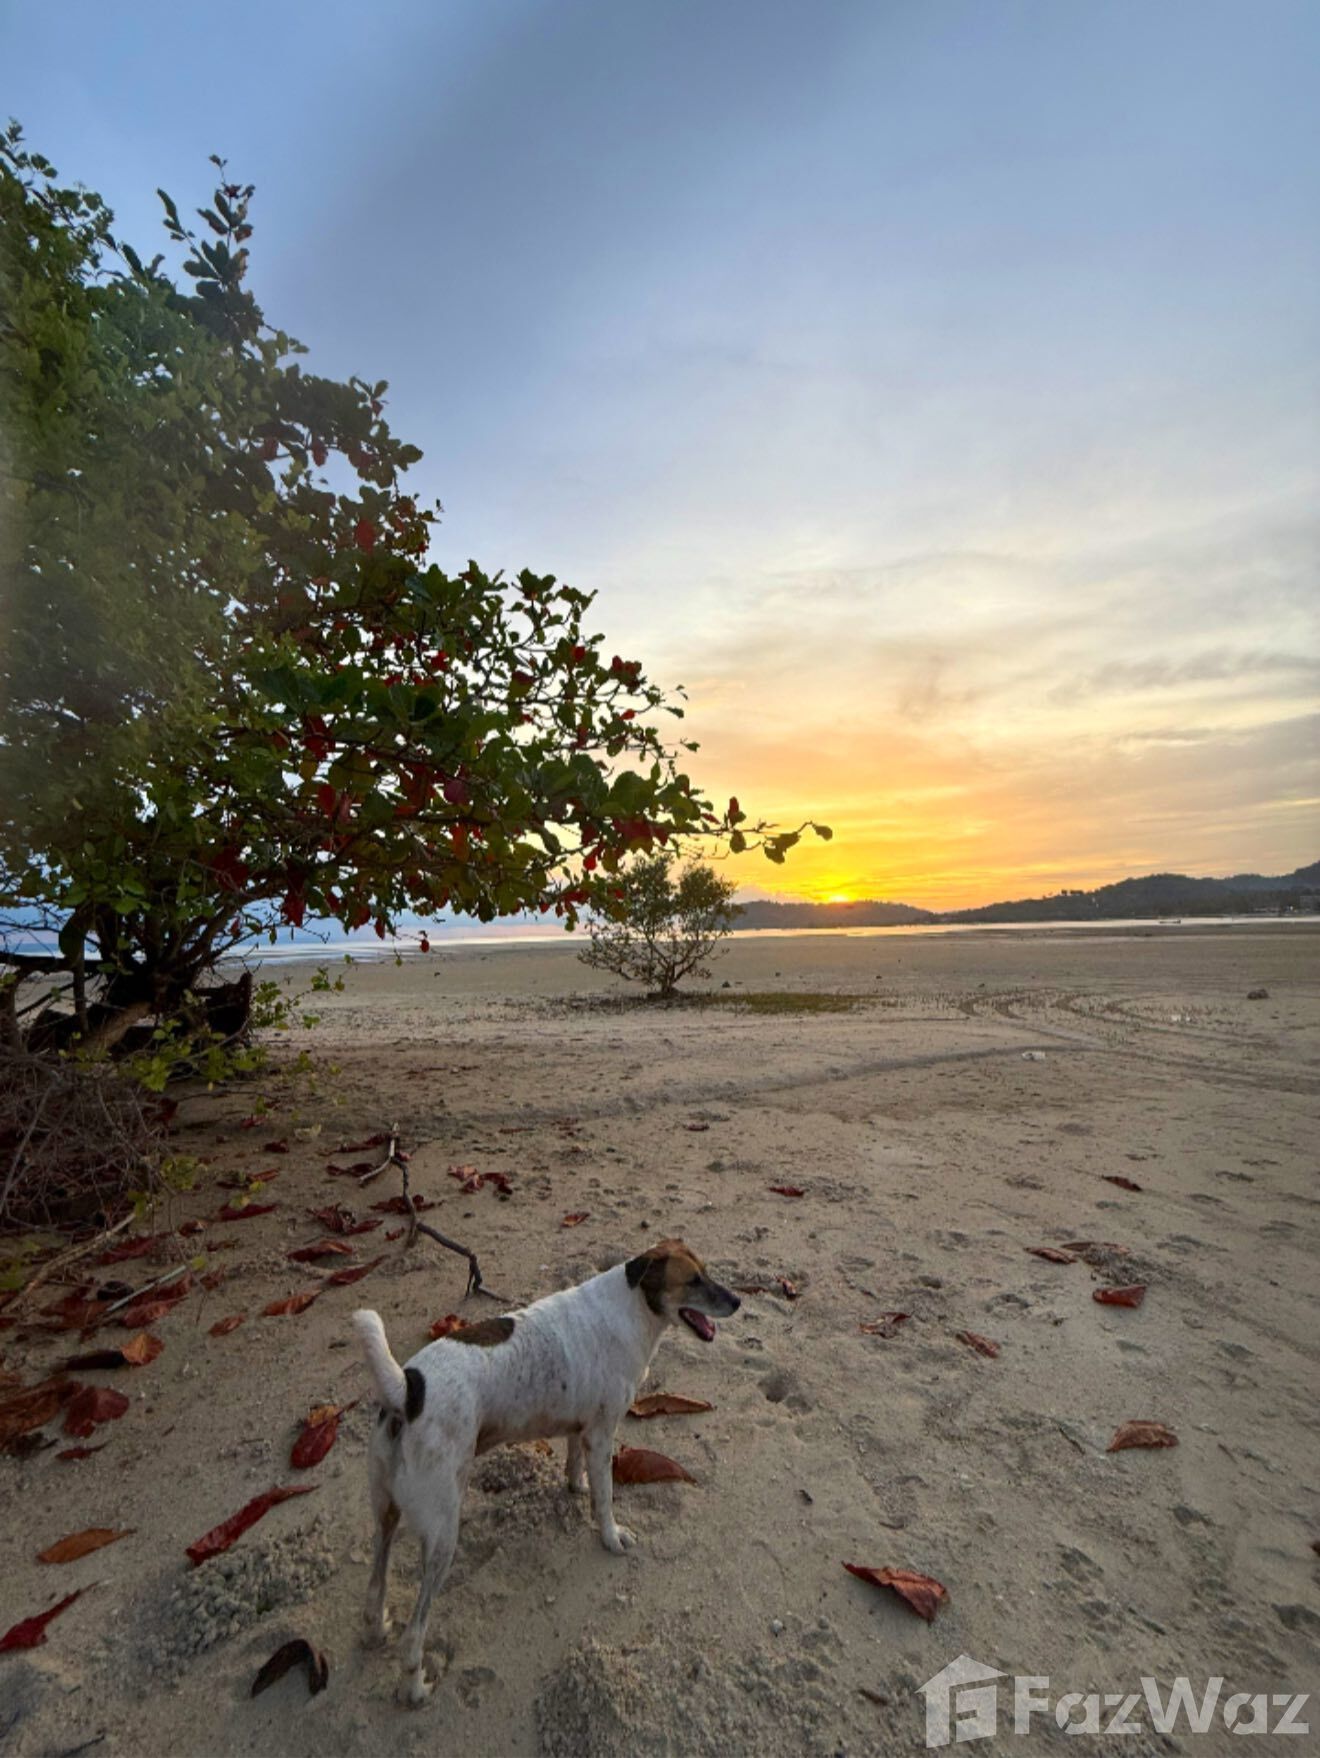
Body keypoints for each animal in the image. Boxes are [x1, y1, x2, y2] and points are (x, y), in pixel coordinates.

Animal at [352, 1237, 740, 1704]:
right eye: (693, 1281)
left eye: (708, 1272)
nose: (737, 1301)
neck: (632, 1306)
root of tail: (408, 1391)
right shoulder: (602, 1433)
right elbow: (606, 1498)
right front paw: (611, 1536)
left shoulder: (580, 1428)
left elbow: (575, 1465)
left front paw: (575, 1487)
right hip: (443, 1533)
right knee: (413, 1637)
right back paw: (415, 1688)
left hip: (385, 1513)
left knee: (374, 1587)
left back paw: (376, 1628)